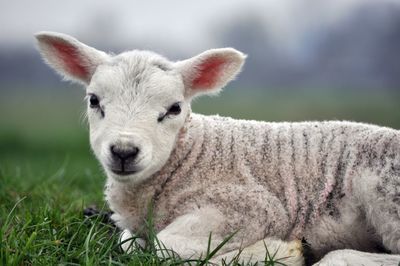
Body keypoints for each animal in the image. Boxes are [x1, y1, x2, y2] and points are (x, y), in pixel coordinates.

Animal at [35, 31, 400, 266]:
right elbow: (130, 242)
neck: (191, 154)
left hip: (385, 193)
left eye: (174, 109)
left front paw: (276, 253)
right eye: (94, 101)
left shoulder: (253, 206)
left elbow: (164, 246)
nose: (124, 151)